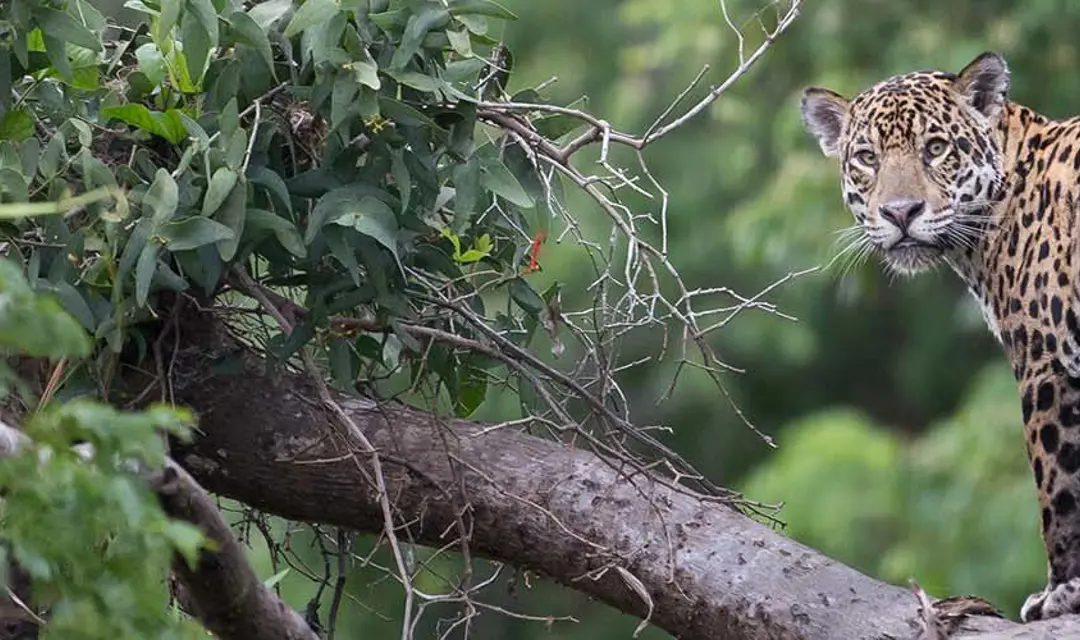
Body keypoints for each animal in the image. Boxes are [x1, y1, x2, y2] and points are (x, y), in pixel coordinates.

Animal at [801, 51, 1080, 622]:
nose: (900, 211)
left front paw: (1061, 591)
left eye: (935, 148)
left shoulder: (1047, 365)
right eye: (867, 157)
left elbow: (1058, 489)